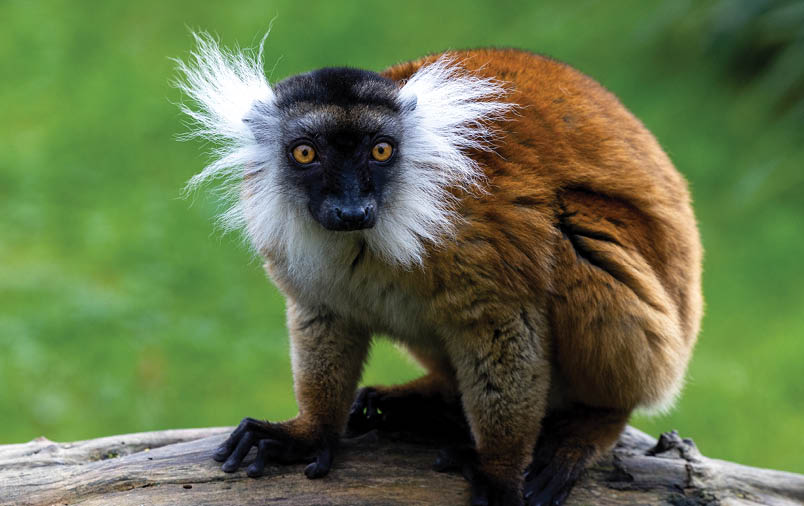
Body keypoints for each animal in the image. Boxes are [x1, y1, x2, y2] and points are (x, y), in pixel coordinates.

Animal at [175, 34, 702, 506]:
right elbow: (324, 315)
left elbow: (503, 326)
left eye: (381, 151)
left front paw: (498, 472)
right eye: (305, 153)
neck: (364, 238)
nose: (350, 209)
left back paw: (594, 423)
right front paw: (308, 433)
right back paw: (428, 400)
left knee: (575, 233)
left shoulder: (474, 233)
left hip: (660, 347)